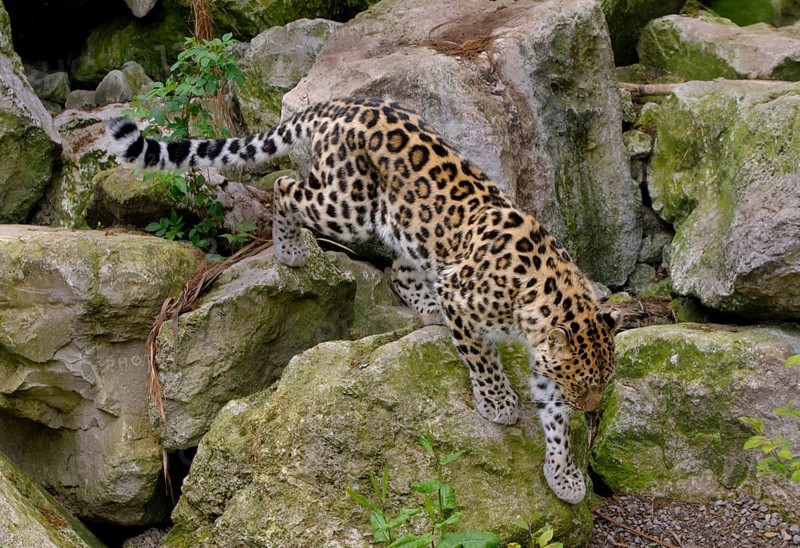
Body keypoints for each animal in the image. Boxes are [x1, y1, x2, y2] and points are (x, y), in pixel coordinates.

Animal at [107, 97, 620, 504]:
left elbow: (555, 421)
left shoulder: (541, 356)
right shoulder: (462, 295)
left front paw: (564, 474)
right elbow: (484, 358)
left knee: (398, 268)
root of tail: (339, 104)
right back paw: (291, 251)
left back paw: (424, 307)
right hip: (346, 205)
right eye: (583, 385)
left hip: (407, 228)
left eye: (601, 382)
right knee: (286, 189)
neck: (545, 298)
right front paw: (497, 402)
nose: (592, 409)